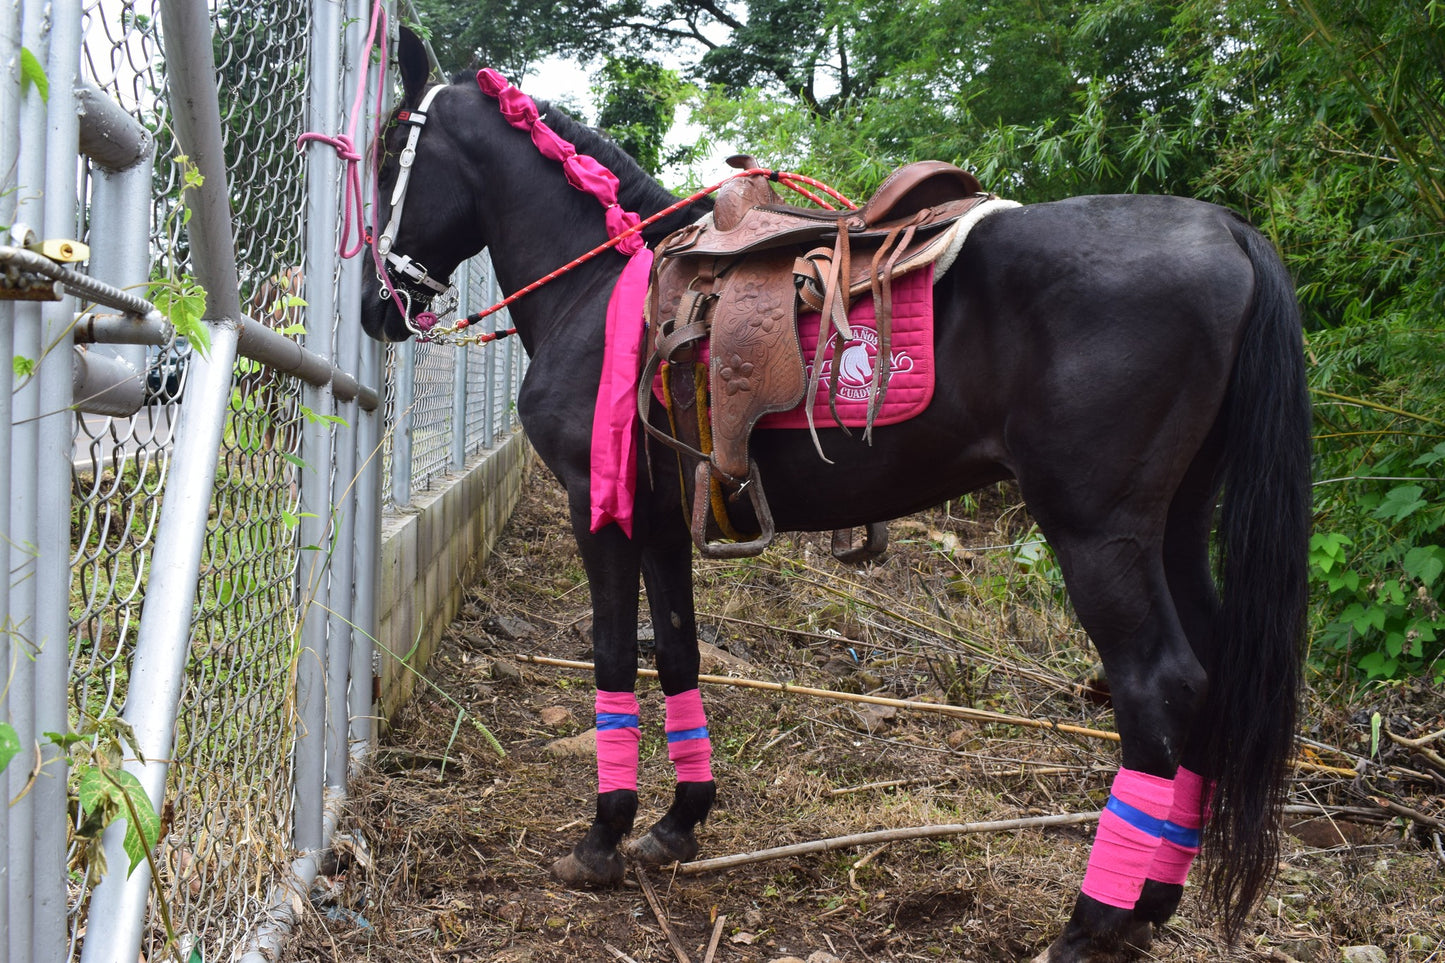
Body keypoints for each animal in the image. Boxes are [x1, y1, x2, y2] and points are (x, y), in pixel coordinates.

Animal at [358, 30, 1312, 960]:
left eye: (390, 154)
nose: (376, 305)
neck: (603, 292)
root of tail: (1229, 233)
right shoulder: (663, 522)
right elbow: (678, 653)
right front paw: (677, 823)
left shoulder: (603, 515)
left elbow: (613, 657)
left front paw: (602, 838)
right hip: (1175, 526)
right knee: (1209, 679)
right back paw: (1150, 901)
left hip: (1094, 529)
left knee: (1156, 689)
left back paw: (1090, 924)